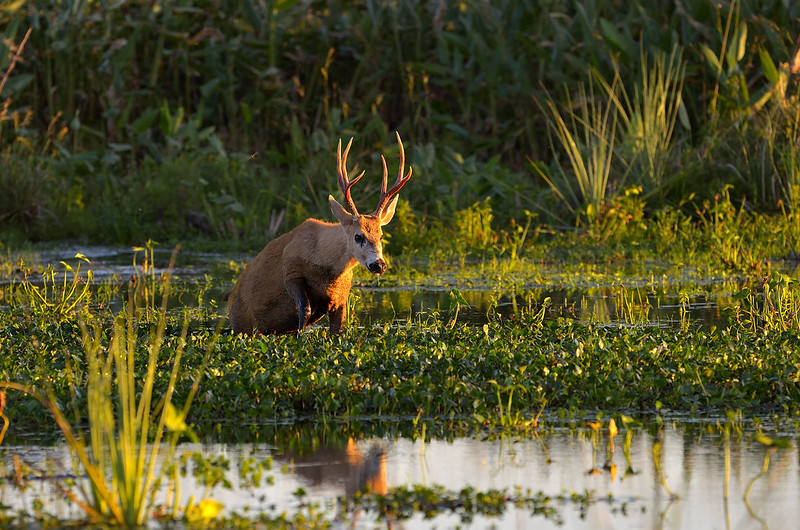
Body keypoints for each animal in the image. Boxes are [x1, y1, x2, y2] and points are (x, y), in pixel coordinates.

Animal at [225, 132, 413, 335]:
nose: (379, 265)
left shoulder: (341, 293)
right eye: (358, 236)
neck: (324, 263)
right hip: (243, 324)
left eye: (381, 236)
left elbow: (338, 329)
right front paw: (300, 338)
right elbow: (304, 311)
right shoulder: (291, 272)